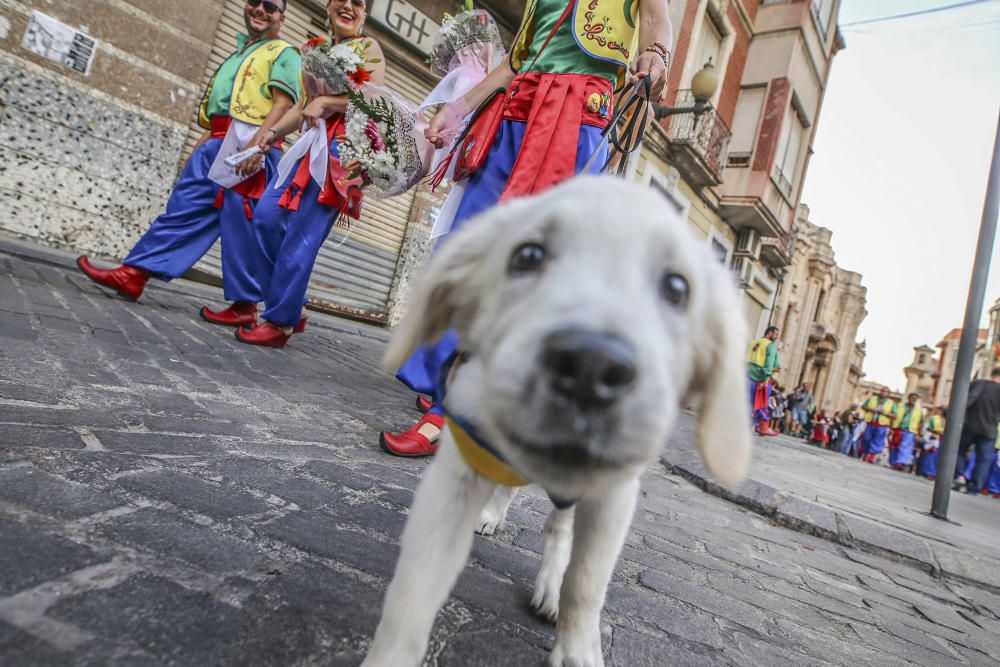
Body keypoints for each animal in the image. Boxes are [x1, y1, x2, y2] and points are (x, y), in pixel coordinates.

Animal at [366, 177, 752, 667]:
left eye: (677, 288)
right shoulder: (454, 482)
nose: (590, 366)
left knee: (559, 531)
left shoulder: (612, 498)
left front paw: (577, 647)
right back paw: (494, 514)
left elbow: (585, 584)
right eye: (527, 256)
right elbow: (411, 598)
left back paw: (549, 584)